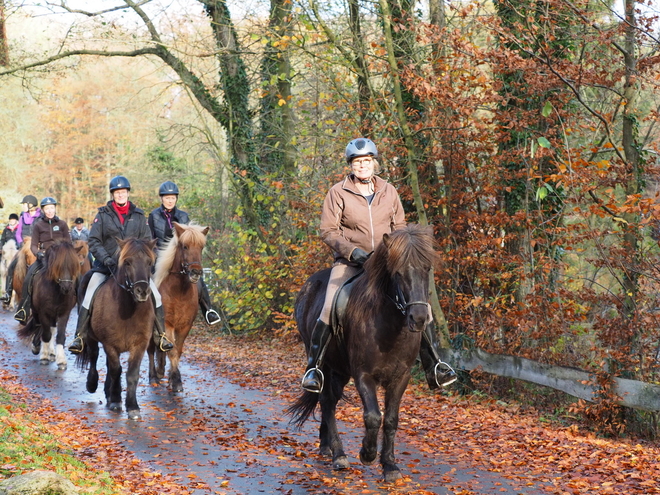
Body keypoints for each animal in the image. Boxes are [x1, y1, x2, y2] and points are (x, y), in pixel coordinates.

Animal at [17, 242, 82, 370]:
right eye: (58, 266)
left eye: (73, 265)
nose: (67, 288)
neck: (55, 291)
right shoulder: (43, 312)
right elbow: (46, 334)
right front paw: (43, 356)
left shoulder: (64, 313)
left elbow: (59, 335)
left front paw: (61, 361)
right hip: (37, 311)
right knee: (41, 326)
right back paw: (38, 347)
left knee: (51, 328)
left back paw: (51, 353)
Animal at [75, 238, 157, 420]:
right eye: (127, 262)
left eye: (149, 262)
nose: (142, 291)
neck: (128, 309)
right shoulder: (110, 344)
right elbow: (115, 370)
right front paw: (116, 400)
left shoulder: (140, 344)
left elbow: (132, 374)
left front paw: (133, 407)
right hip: (91, 337)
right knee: (94, 355)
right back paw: (93, 384)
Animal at [148, 223, 208, 394]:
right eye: (185, 246)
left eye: (201, 247)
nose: (196, 272)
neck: (179, 292)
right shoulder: (167, 323)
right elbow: (172, 351)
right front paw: (176, 381)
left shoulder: (185, 325)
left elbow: (178, 350)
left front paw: (171, 378)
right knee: (151, 350)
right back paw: (153, 376)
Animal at [286, 227, 436, 482]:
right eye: (397, 273)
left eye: (426, 268)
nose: (418, 319)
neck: (389, 327)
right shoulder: (364, 375)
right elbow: (373, 416)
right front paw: (367, 453)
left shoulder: (401, 377)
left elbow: (391, 419)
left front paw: (390, 466)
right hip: (323, 364)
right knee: (327, 401)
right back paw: (338, 455)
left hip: (339, 369)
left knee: (331, 401)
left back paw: (326, 446)